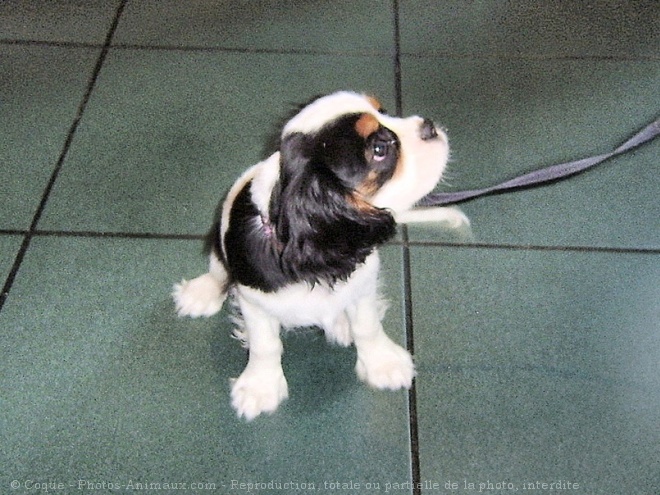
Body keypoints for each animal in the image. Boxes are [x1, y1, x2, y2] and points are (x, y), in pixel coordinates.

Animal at [173, 91, 466, 420]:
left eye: (385, 111)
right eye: (379, 150)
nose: (429, 126)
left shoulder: (363, 283)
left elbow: (368, 326)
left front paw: (382, 362)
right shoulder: (253, 300)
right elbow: (265, 345)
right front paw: (260, 388)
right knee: (217, 270)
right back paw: (200, 294)